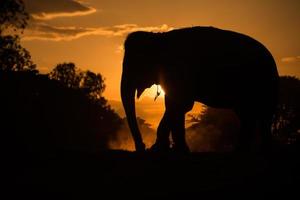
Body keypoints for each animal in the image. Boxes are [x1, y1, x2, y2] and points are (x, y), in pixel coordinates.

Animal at [120, 25, 278, 152]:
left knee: (262, 117)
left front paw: (158, 149)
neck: (159, 37)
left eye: (136, 64)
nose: (142, 147)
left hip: (264, 84)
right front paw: (177, 150)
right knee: (248, 117)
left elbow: (181, 104)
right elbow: (174, 105)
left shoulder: (180, 72)